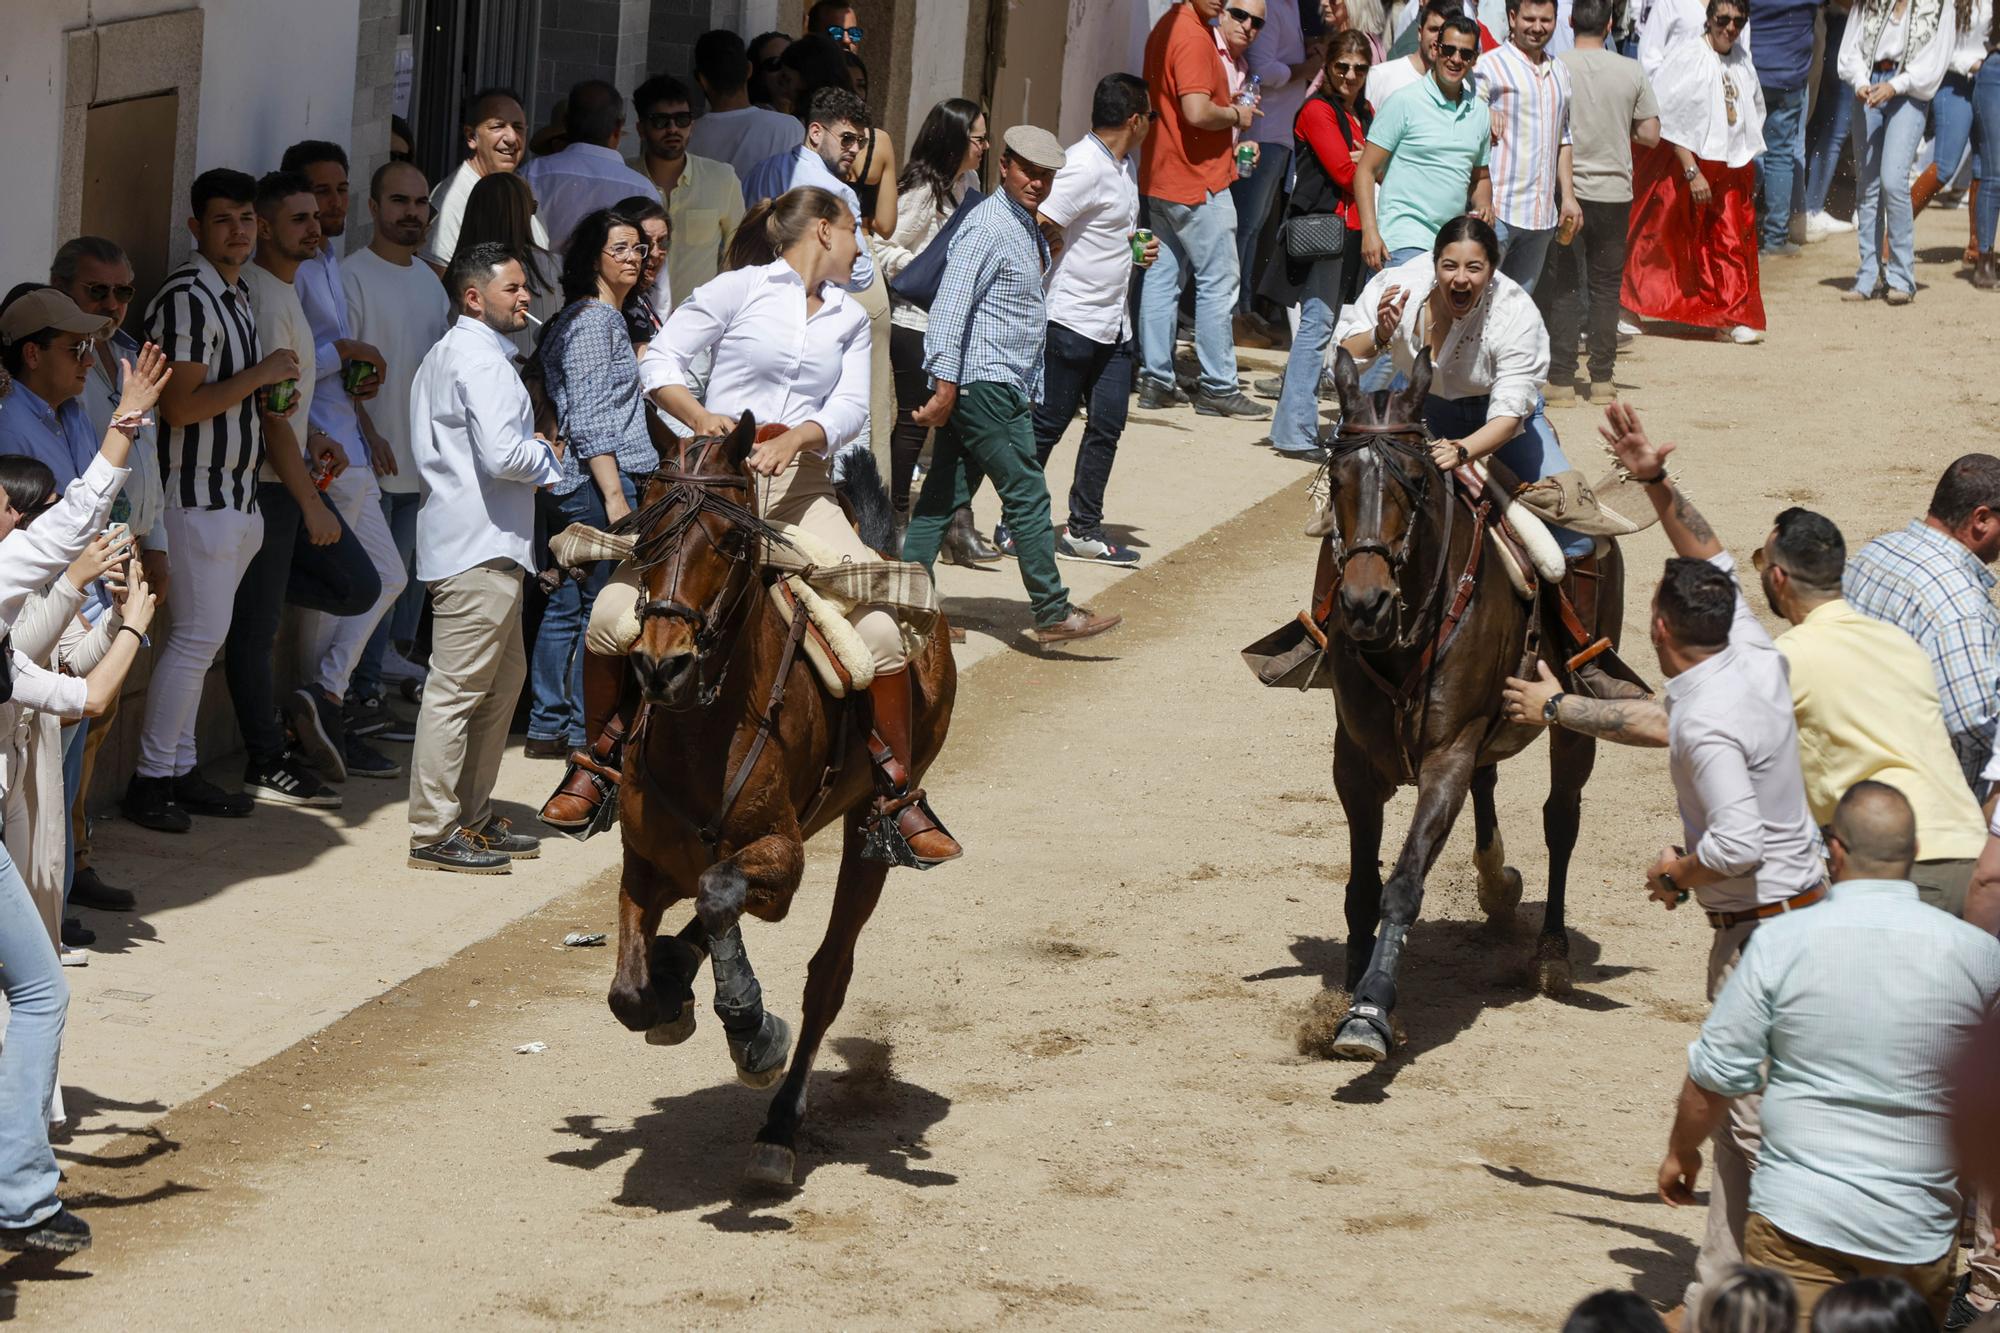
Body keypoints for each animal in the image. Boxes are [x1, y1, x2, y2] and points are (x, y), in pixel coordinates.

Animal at [604, 410, 956, 1176]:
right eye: (647, 532)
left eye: (730, 537)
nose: (662, 665)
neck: (700, 731)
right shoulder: (642, 863)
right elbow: (629, 994)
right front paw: (670, 990)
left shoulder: (783, 861)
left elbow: (718, 892)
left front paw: (751, 1028)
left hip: (865, 833)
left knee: (828, 974)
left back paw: (779, 1126)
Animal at [1312, 350, 1624, 1056]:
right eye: (1337, 478)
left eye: (1415, 482)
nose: (1364, 604)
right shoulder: (1354, 760)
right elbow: (1362, 887)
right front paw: (1346, 992)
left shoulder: (1447, 754)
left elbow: (1402, 884)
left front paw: (1371, 1009)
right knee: (1491, 785)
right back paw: (1495, 882)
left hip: (1574, 720)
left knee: (1561, 820)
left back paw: (1551, 954)